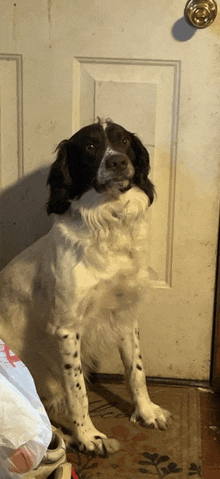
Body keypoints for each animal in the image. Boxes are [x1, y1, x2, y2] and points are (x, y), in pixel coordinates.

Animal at [0, 121, 171, 458]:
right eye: (91, 146)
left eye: (124, 140)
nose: (118, 162)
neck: (108, 224)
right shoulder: (67, 329)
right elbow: (78, 390)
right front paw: (89, 436)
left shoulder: (125, 315)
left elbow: (137, 370)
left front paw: (146, 412)